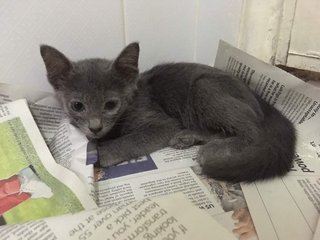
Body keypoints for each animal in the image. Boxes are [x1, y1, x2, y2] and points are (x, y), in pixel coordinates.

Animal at [40, 42, 296, 182]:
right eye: (77, 106)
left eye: (111, 104)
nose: (95, 127)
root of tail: (258, 97)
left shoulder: (161, 122)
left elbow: (130, 140)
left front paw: (100, 153)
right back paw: (188, 137)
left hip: (204, 86)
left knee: (252, 131)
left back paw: (212, 150)